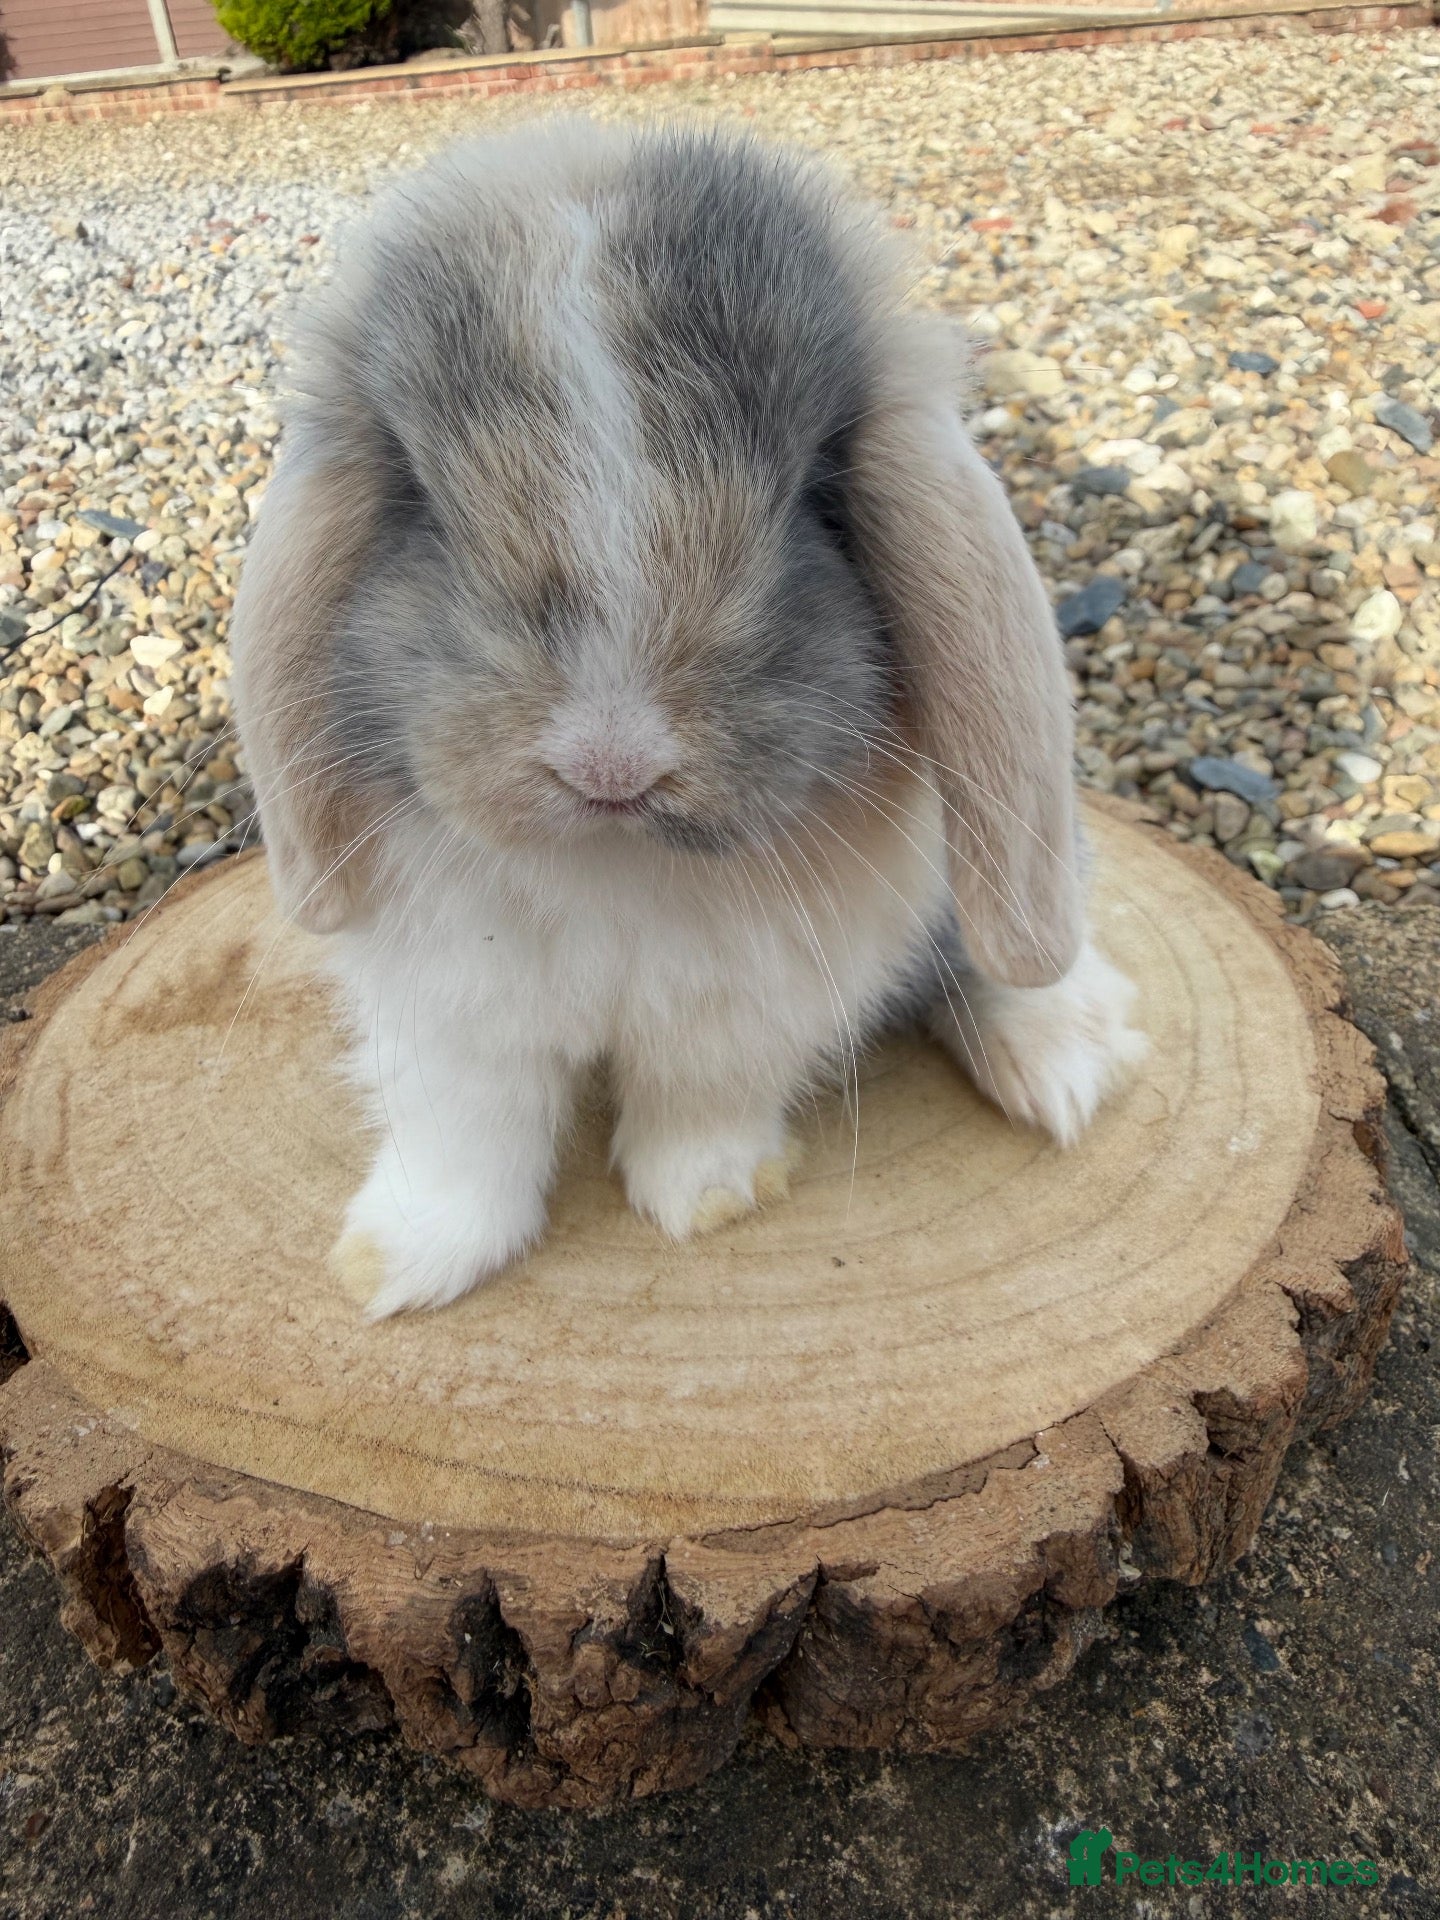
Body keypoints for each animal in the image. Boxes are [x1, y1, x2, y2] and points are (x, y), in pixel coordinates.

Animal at [230, 119, 1145, 1319]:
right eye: (421, 504)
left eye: (813, 496)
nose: (610, 765)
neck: (615, 865)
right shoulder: (450, 1016)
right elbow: (466, 1140)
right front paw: (394, 1267)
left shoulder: (748, 1011)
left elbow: (701, 1103)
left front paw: (705, 1200)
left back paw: (1064, 1058)